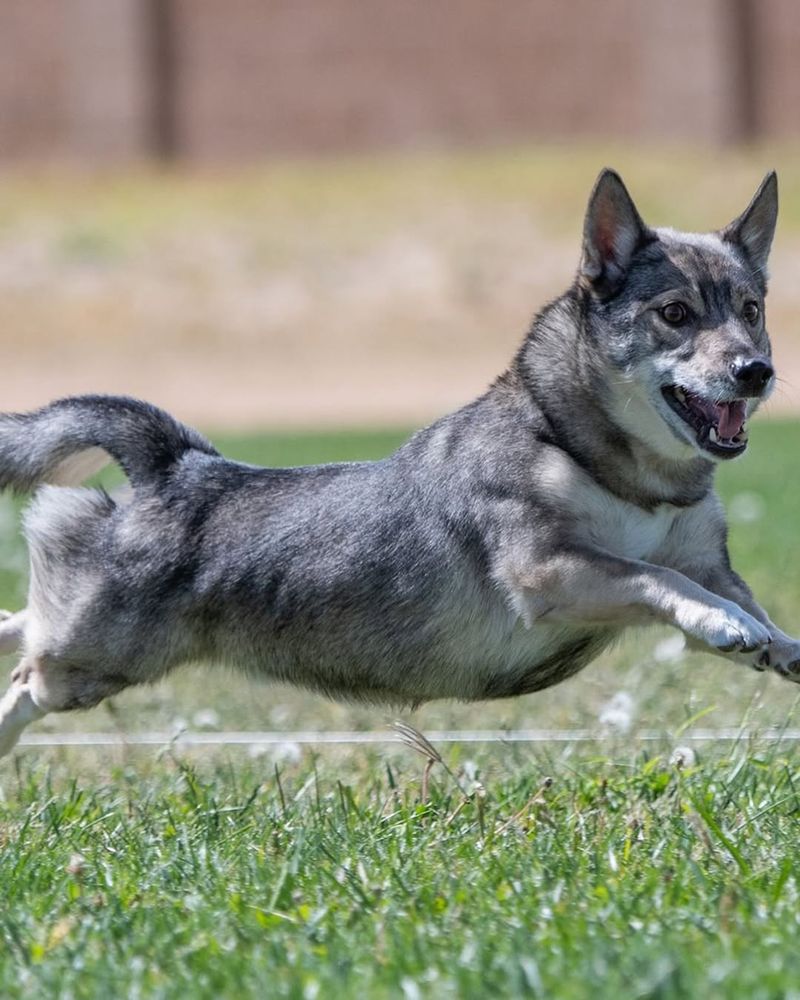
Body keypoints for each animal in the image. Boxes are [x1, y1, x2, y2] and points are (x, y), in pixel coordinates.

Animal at [0, 168, 792, 752]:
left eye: (751, 310)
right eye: (675, 314)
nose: (756, 372)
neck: (618, 472)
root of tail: (178, 465)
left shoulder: (706, 564)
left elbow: (734, 596)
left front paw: (774, 643)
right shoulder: (549, 572)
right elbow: (654, 576)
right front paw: (725, 624)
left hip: (78, 633)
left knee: (18, 620)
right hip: (88, 660)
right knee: (23, 679)